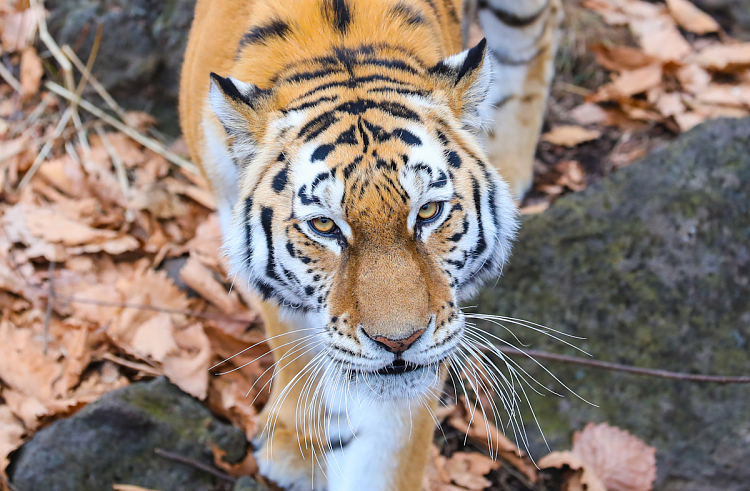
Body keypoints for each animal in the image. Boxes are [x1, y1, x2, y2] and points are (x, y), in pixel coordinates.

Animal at [179, 0, 560, 490]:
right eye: (324, 225)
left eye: (428, 212)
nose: (399, 343)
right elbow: (293, 344)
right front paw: (296, 450)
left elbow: (386, 451)